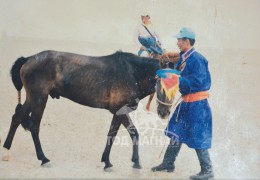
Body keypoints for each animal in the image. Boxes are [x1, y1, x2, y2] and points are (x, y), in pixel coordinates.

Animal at [3, 50, 173, 169]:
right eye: (162, 86)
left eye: (177, 86)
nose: (164, 113)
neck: (132, 73)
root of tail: (28, 59)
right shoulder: (120, 110)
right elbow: (134, 133)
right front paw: (136, 162)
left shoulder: (117, 112)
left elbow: (112, 134)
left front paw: (107, 161)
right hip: (39, 99)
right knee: (34, 127)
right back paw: (43, 159)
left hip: (32, 98)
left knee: (16, 117)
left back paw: (6, 149)